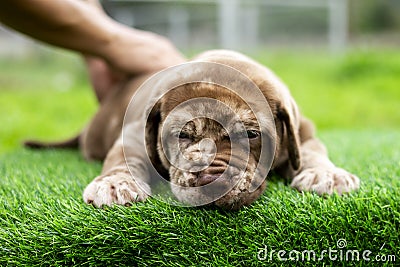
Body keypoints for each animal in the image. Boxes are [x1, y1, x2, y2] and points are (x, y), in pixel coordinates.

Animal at [26, 49, 360, 209]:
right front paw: (115, 183)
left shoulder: (303, 131)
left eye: (252, 134)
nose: (211, 177)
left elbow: (313, 152)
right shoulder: (132, 133)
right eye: (182, 135)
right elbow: (122, 159)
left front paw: (327, 175)